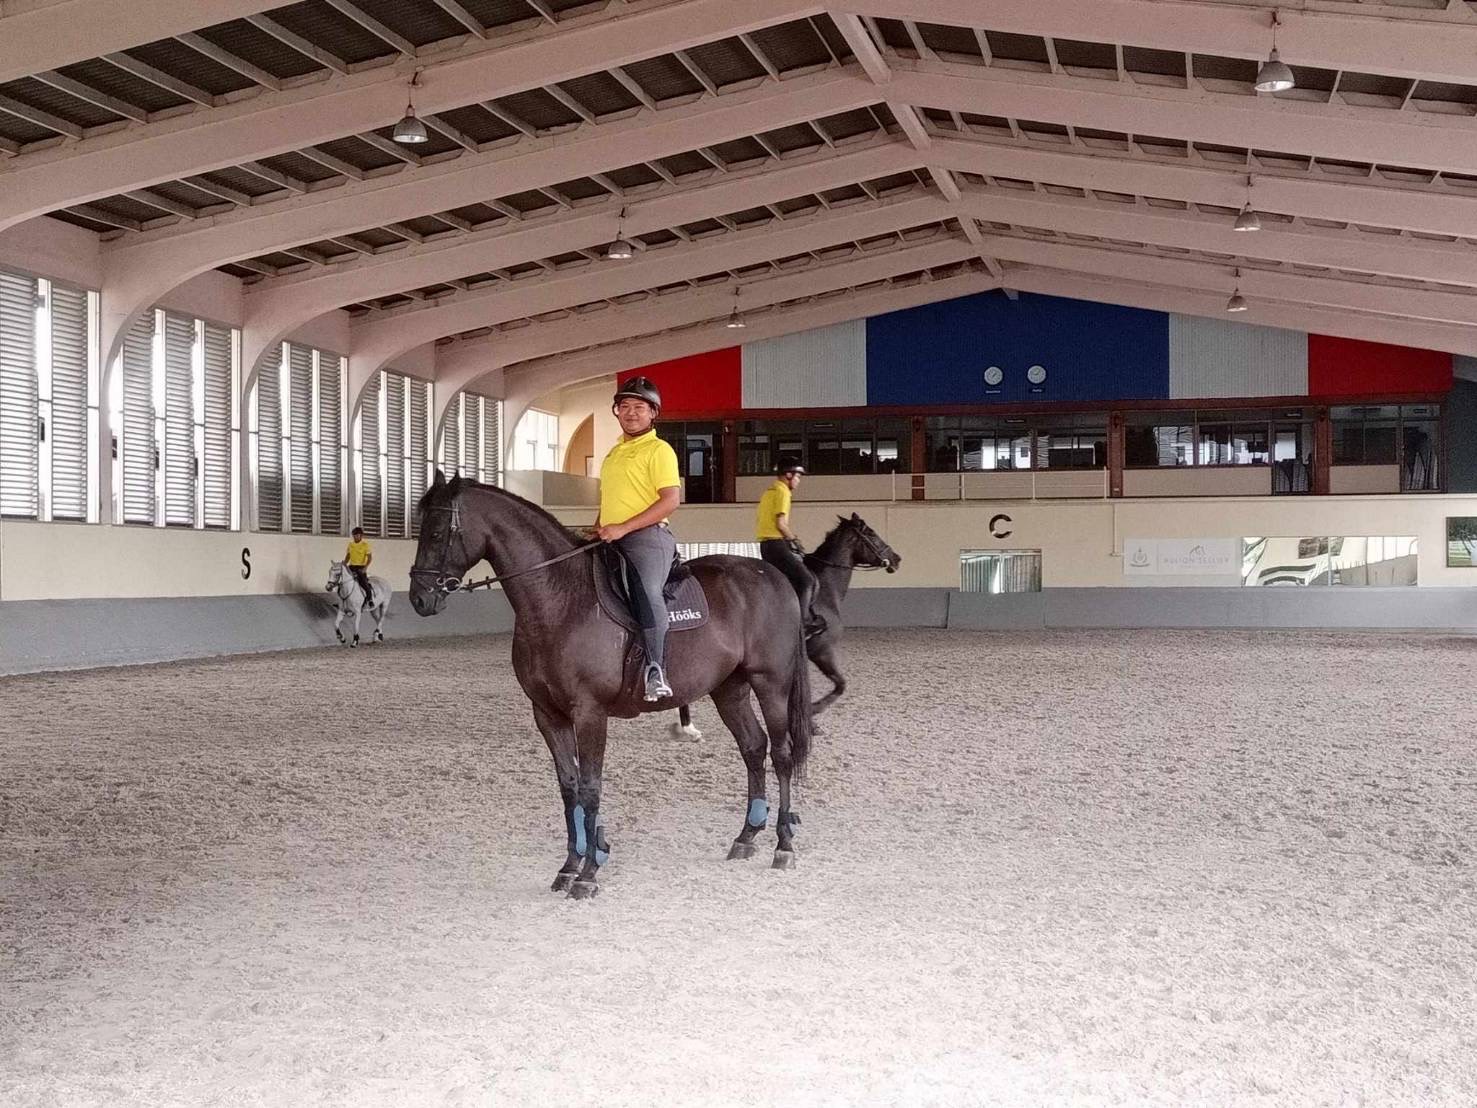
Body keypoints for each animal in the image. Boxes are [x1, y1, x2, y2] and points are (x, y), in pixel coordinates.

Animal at [408, 471, 815, 899]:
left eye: (436, 532)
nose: (420, 598)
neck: (562, 599)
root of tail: (773, 578)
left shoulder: (590, 712)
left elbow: (590, 787)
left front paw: (589, 873)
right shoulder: (547, 714)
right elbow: (569, 786)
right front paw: (570, 865)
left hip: (771, 683)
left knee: (781, 754)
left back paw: (784, 845)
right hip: (729, 689)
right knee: (753, 747)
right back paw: (746, 836)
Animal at [669, 513, 900, 738]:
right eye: (872, 534)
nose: (896, 559)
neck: (826, 592)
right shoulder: (822, 651)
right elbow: (840, 685)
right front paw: (812, 715)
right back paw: (687, 727)